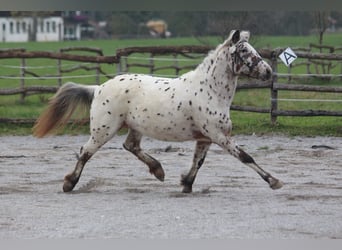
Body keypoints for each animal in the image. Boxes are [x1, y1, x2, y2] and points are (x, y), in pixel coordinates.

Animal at [32, 29, 284, 193]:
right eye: (243, 51)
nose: (268, 72)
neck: (210, 91)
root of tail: (98, 88)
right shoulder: (219, 136)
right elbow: (245, 157)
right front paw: (274, 181)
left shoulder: (205, 138)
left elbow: (198, 162)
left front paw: (186, 184)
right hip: (104, 129)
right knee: (85, 151)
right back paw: (69, 184)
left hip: (134, 127)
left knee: (130, 146)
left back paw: (158, 170)